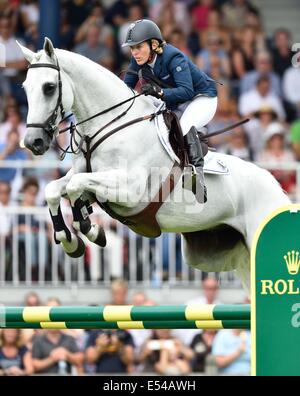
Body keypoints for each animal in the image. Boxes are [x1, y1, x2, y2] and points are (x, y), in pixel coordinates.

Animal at [17, 38, 290, 290]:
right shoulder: (87, 176)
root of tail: (278, 188)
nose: (33, 142)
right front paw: (70, 239)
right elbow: (54, 189)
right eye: (25, 88)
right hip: (239, 256)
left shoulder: (130, 191)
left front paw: (89, 228)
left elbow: (75, 186)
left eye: (49, 87)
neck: (110, 125)